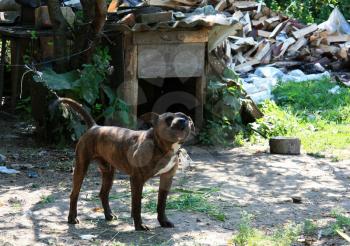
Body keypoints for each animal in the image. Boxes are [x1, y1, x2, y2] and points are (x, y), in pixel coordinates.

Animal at [57, 97, 193, 231]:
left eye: (186, 117)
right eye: (168, 119)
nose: (183, 121)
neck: (162, 147)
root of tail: (94, 126)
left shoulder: (166, 178)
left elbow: (161, 204)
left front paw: (163, 221)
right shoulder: (137, 180)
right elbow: (137, 205)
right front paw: (139, 225)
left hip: (108, 173)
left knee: (103, 194)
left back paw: (108, 215)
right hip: (81, 168)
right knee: (74, 194)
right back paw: (72, 218)